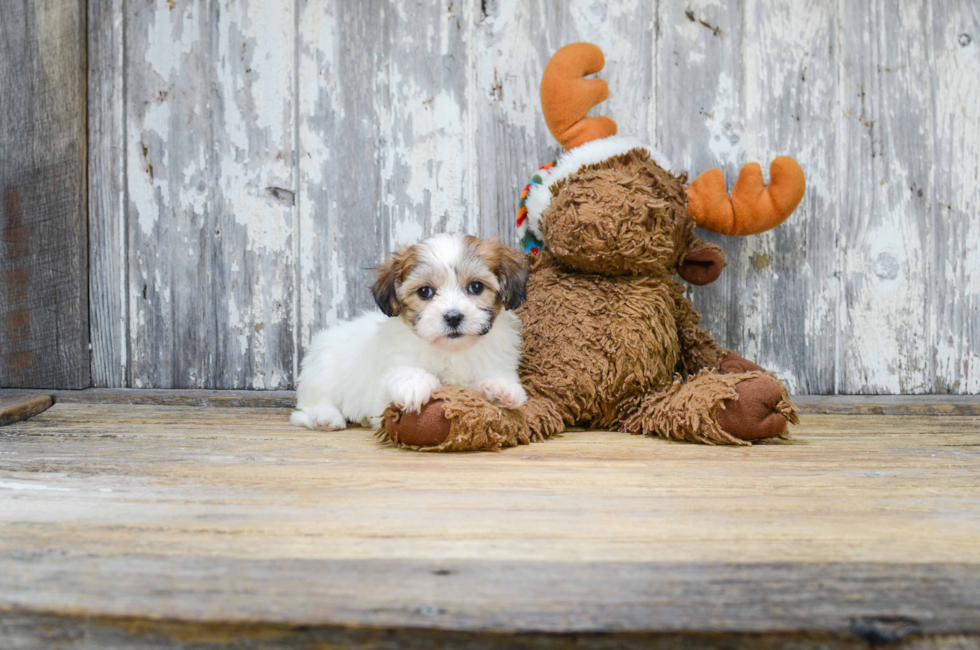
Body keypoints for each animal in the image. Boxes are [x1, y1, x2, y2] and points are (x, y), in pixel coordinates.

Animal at [290, 230, 528, 428]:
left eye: (476, 287)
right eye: (424, 292)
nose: (453, 317)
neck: (451, 351)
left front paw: (500, 388)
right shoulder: (379, 403)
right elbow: (401, 380)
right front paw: (414, 384)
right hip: (322, 373)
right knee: (307, 407)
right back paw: (325, 417)